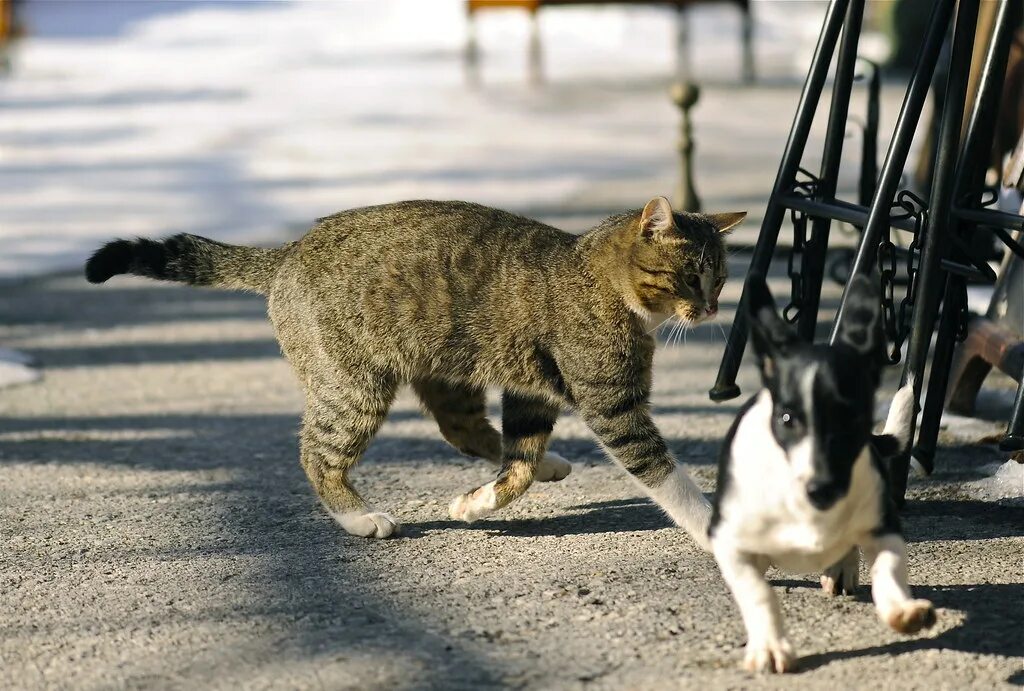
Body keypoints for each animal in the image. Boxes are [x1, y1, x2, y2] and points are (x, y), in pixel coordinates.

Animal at [86, 194, 745, 544]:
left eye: (721, 277)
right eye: (693, 276)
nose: (714, 307)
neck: (596, 276)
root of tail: (287, 252)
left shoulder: (532, 393)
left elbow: (518, 466)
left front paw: (481, 501)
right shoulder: (613, 405)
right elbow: (664, 474)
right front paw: (712, 525)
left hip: (447, 372)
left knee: (464, 431)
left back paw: (549, 463)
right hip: (353, 387)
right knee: (317, 454)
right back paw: (357, 517)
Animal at [712, 272, 937, 671]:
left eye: (853, 418)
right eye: (787, 418)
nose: (823, 489)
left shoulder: (884, 525)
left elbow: (890, 568)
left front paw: (902, 610)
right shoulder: (727, 541)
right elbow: (758, 591)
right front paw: (770, 646)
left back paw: (841, 569)